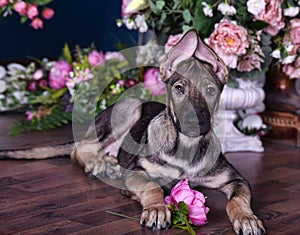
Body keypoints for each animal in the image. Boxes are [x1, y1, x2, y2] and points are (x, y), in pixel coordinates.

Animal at [1, 30, 264, 234]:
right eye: (179, 89)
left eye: (210, 90)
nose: (195, 123)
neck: (185, 147)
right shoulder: (137, 173)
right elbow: (153, 187)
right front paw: (157, 209)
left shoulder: (235, 179)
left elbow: (238, 200)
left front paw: (247, 218)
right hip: (131, 106)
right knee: (79, 149)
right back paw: (97, 163)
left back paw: (110, 163)